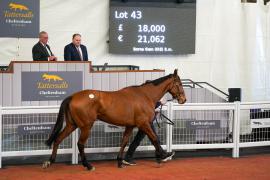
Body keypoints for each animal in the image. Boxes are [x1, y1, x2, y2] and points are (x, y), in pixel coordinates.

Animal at [42, 69, 186, 170]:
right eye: (179, 83)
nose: (183, 100)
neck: (145, 95)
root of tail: (72, 97)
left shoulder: (130, 126)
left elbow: (124, 142)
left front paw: (120, 162)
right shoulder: (144, 124)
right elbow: (154, 138)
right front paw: (163, 155)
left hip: (72, 125)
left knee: (58, 139)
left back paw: (50, 161)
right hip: (86, 126)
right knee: (80, 144)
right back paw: (88, 165)